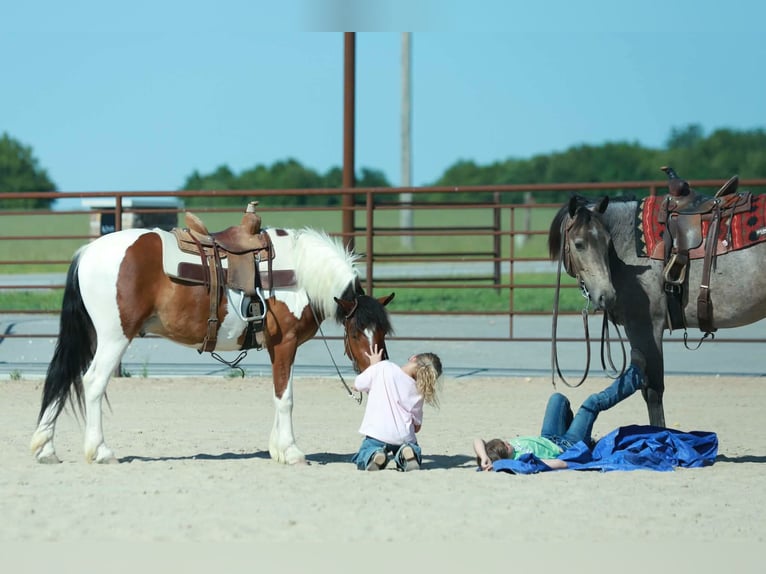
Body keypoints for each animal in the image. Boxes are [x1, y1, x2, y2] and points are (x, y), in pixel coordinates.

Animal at [30, 211, 394, 465]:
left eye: (383, 331)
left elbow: (279, 393)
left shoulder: (277, 348)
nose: (377, 371)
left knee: (64, 378)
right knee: (92, 382)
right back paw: (100, 451)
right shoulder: (286, 343)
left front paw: (277, 448)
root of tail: (88, 252)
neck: (300, 273)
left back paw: (46, 448)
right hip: (114, 338)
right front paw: (291, 451)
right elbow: (286, 398)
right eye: (357, 333)